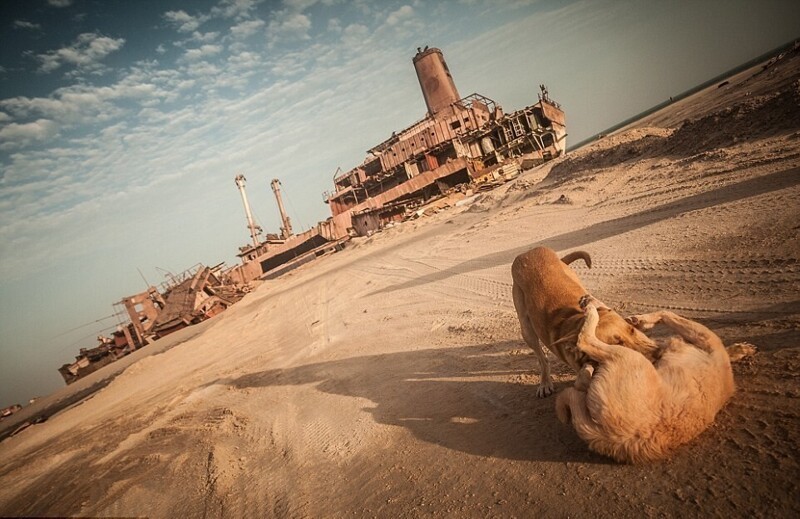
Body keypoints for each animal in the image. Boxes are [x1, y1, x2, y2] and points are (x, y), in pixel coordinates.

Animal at [510, 248, 660, 398]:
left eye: (632, 330)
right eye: (617, 344)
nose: (658, 353)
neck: (577, 319)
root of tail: (530, 252)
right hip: (527, 330)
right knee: (542, 359)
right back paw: (545, 383)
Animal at [556, 300, 756, 464]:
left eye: (631, 331)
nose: (658, 355)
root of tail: (617, 438)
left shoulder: (702, 336)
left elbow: (668, 313)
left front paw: (640, 320)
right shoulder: (703, 337)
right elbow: (668, 314)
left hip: (626, 357)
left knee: (585, 344)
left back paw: (591, 317)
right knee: (580, 376)